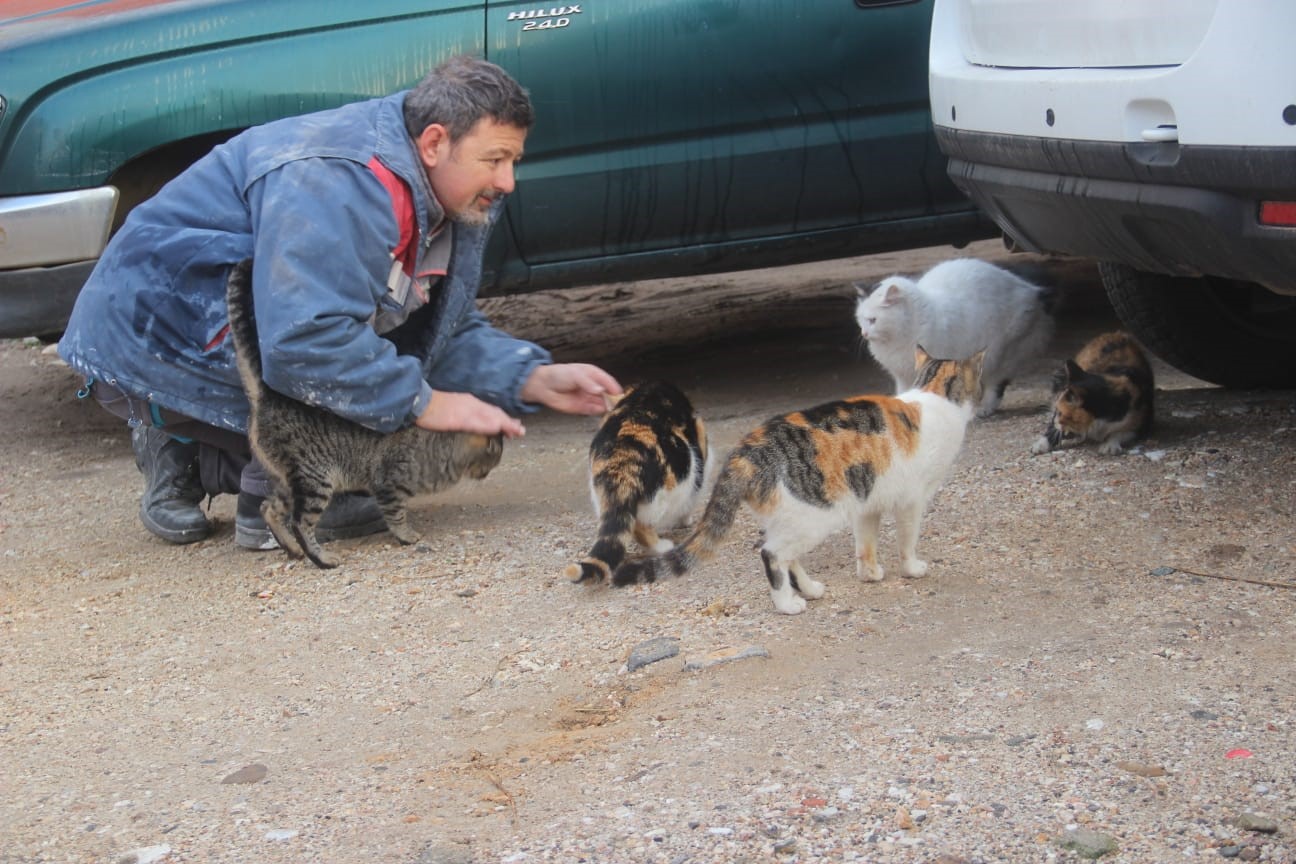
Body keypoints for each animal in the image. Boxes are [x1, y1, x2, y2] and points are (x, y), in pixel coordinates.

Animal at [225, 259, 502, 567]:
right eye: (495, 453)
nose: (492, 469)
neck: (442, 448)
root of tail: (267, 396)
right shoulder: (388, 484)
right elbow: (396, 514)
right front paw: (407, 536)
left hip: (288, 480)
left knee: (268, 508)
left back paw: (293, 549)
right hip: (315, 478)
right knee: (300, 522)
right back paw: (321, 557)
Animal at [565, 380, 710, 585]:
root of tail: (623, 460)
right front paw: (685, 521)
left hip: (600, 495)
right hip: (671, 491)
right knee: (641, 528)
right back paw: (662, 546)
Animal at [855, 259, 1057, 417]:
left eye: (872, 320)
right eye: (861, 319)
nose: (864, 333)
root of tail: (1031, 289)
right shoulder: (902, 374)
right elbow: (904, 393)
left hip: (1000, 353)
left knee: (996, 384)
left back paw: (984, 408)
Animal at [1031, 329, 1156, 458]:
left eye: (1060, 412)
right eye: (1057, 411)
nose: (1056, 419)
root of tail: (1117, 334)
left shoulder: (1141, 423)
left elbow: (1119, 433)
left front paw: (1109, 446)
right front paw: (1039, 445)